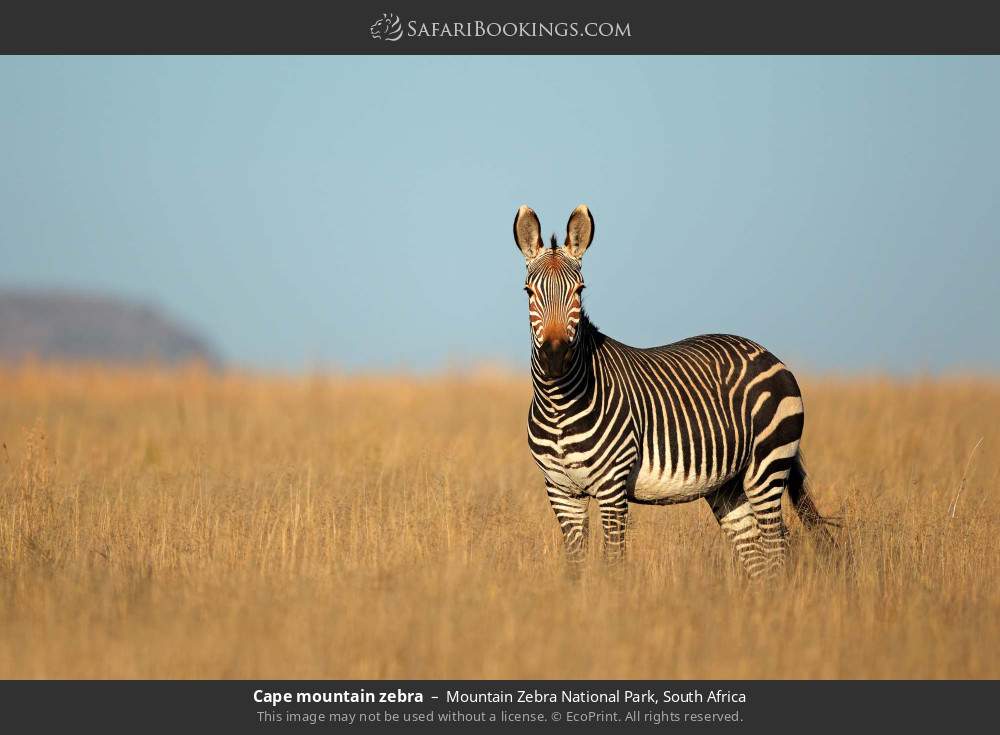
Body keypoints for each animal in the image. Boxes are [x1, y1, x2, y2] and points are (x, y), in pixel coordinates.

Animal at [513, 204, 833, 579]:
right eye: (528, 293)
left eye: (579, 290)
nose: (554, 357)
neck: (559, 405)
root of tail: (766, 352)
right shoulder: (562, 492)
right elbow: (576, 568)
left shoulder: (612, 487)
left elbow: (613, 563)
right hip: (729, 486)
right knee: (756, 555)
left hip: (767, 466)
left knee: (777, 547)